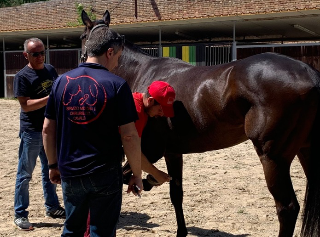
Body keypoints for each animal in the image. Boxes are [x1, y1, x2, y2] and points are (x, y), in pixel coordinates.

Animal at [81, 9, 320, 237]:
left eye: (82, 37)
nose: (83, 63)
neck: (143, 73)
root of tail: (310, 74)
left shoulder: (150, 148)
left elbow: (126, 176)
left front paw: (149, 181)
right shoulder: (172, 151)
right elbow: (176, 193)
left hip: (272, 158)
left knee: (287, 208)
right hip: (305, 150)